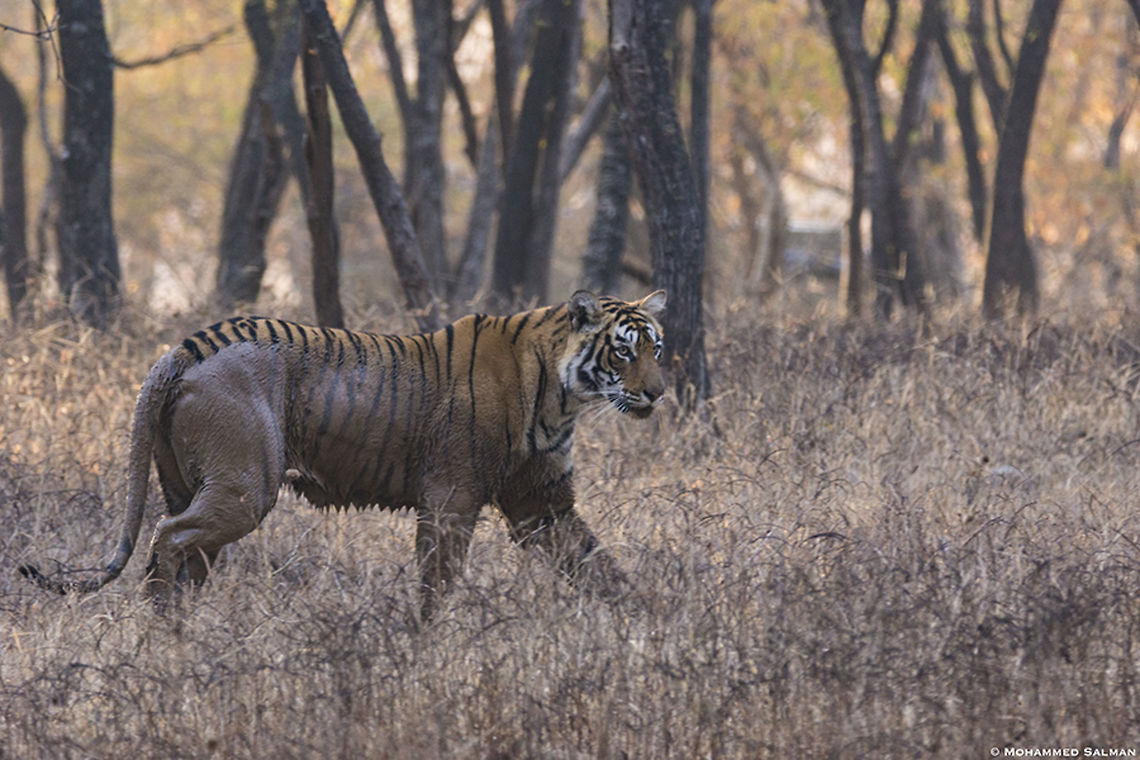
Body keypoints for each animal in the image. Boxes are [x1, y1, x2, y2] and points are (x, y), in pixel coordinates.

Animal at [20, 290, 667, 619]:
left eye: (656, 347)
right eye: (624, 351)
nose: (659, 393)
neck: (563, 394)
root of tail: (186, 345)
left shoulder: (543, 503)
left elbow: (598, 564)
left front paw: (648, 617)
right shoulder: (452, 499)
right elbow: (438, 580)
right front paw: (429, 640)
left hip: (192, 485)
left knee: (184, 553)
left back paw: (179, 637)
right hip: (243, 488)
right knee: (167, 537)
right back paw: (161, 632)